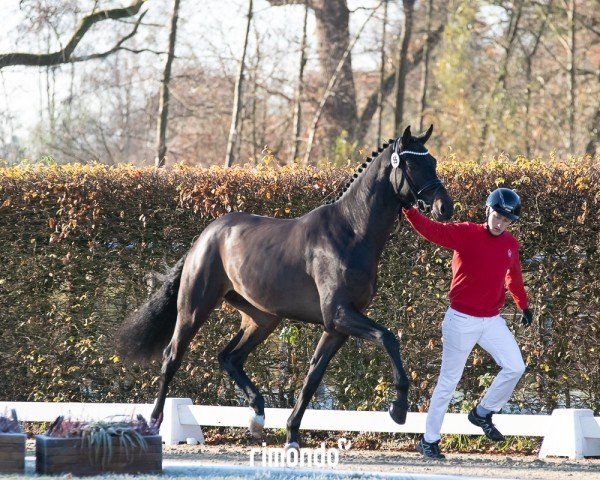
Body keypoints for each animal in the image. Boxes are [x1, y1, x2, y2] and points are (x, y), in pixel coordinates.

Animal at [117, 125, 452, 448]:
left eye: (434, 161)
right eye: (412, 163)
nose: (444, 207)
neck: (351, 232)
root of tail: (205, 236)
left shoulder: (337, 327)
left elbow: (313, 376)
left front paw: (292, 434)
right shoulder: (339, 315)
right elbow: (388, 338)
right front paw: (398, 409)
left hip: (263, 318)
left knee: (229, 357)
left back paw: (257, 416)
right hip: (194, 308)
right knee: (172, 357)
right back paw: (155, 423)